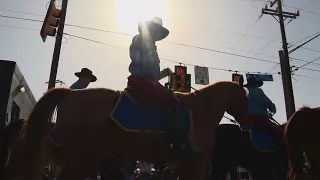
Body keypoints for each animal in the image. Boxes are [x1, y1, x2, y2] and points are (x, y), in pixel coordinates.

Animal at [18, 81, 250, 180]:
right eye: (246, 99)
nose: (248, 124)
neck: (201, 109)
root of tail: (69, 93)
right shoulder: (195, 165)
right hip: (79, 160)